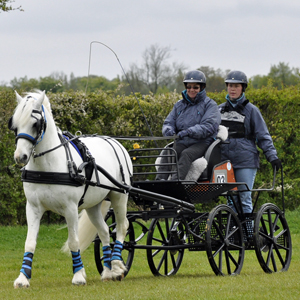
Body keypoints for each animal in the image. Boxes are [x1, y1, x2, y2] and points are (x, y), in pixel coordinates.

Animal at [9, 90, 132, 288]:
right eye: (14, 125)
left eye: (35, 123)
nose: (21, 157)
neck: (49, 166)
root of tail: (114, 142)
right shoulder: (33, 208)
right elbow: (29, 242)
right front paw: (23, 278)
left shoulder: (70, 208)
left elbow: (74, 241)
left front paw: (79, 275)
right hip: (93, 205)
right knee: (104, 231)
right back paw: (107, 271)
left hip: (120, 196)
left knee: (122, 227)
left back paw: (116, 266)